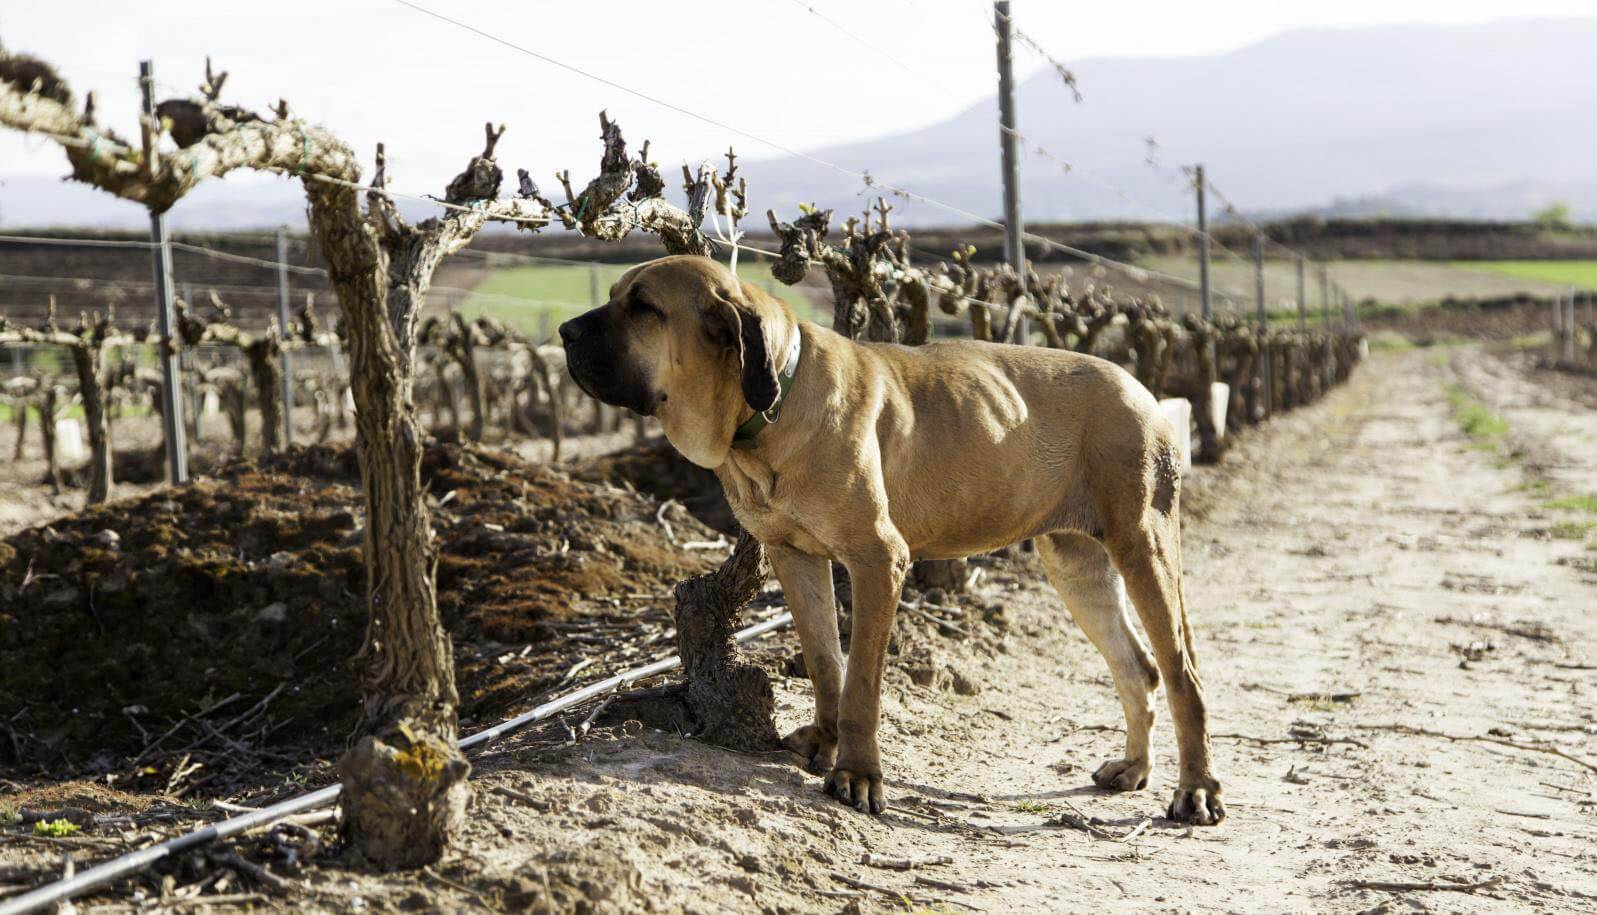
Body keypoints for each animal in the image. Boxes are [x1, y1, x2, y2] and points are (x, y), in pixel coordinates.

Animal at [558, 253, 1220, 823]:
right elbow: (825, 661)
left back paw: (1195, 791)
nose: (564, 331)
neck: (774, 401)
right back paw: (1134, 767)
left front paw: (857, 775)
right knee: (1138, 668)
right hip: (1076, 565)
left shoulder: (879, 561)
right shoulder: (795, 558)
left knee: (1183, 674)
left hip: (1142, 545)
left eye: (644, 306)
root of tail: (1139, 388)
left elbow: (862, 683)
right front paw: (823, 743)